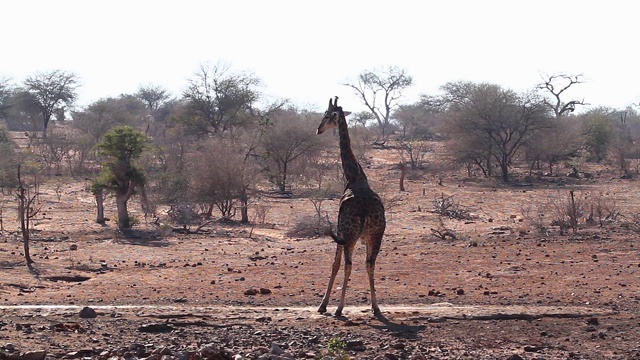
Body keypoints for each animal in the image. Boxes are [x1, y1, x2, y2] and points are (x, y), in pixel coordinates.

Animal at [316, 95, 384, 316]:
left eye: (327, 115)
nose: (318, 129)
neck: (354, 176)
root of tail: (365, 212)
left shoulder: (340, 230)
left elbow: (335, 264)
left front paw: (323, 305)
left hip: (351, 234)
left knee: (348, 264)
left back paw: (339, 309)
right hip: (375, 236)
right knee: (370, 264)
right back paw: (376, 307)